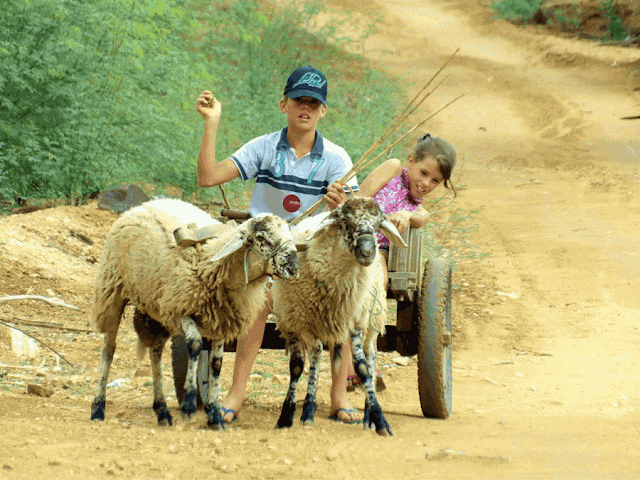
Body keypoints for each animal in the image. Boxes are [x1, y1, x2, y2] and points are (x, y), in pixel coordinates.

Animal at [90, 197, 300, 430]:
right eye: (261, 237)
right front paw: (190, 402)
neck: (212, 264)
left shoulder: (220, 321)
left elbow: (216, 365)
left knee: (155, 352)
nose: (294, 266)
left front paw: (214, 414)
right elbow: (196, 345)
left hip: (155, 307)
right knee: (109, 349)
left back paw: (162, 411)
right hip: (113, 291)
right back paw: (98, 408)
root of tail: (141, 206)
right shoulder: (179, 309)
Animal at [272, 197, 408, 436]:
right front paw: (286, 416)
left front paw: (380, 420)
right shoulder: (292, 323)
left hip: (371, 323)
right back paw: (308, 411)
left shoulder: (355, 321)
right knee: (316, 352)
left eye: (378, 225)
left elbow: (362, 368)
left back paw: (368, 417)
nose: (367, 252)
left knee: (370, 359)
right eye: (345, 222)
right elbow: (297, 366)